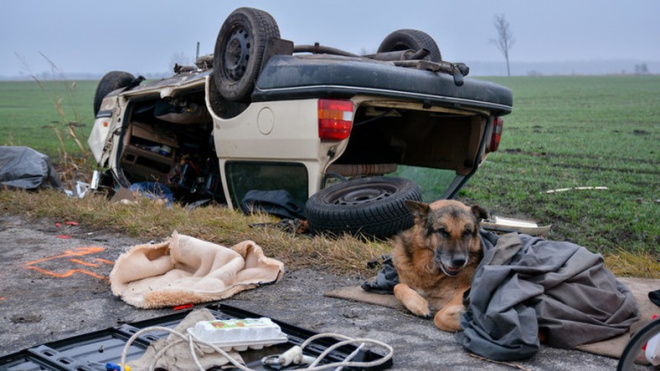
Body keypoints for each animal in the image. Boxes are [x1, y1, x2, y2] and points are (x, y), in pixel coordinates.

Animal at [392, 201, 484, 332]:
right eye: (442, 231)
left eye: (467, 232)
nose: (460, 261)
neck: (429, 270)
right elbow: (397, 286)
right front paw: (420, 305)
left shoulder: (467, 290)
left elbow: (440, 317)